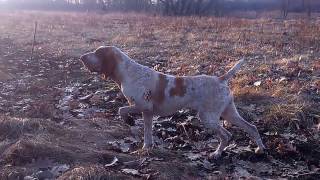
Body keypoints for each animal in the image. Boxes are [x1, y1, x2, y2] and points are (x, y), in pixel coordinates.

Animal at [80, 45, 264, 158]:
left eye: (97, 53)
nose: (81, 57)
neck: (128, 72)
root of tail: (220, 79)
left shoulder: (141, 106)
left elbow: (121, 110)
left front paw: (129, 120)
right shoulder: (147, 113)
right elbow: (147, 134)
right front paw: (146, 148)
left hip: (208, 118)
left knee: (226, 135)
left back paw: (217, 154)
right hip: (228, 113)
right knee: (252, 128)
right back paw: (260, 149)